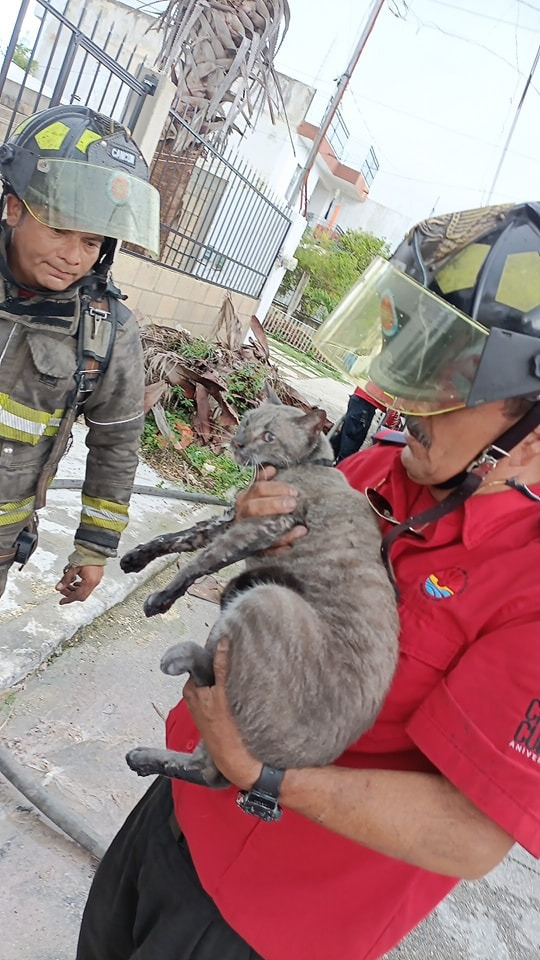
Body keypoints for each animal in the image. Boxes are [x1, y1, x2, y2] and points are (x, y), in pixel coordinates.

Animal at [123, 398, 400, 788]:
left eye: (269, 436)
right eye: (246, 421)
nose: (238, 442)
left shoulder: (262, 525)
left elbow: (201, 561)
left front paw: (162, 598)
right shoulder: (231, 518)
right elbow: (180, 538)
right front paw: (136, 557)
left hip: (268, 599)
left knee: (216, 717)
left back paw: (185, 659)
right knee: (211, 769)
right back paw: (145, 760)